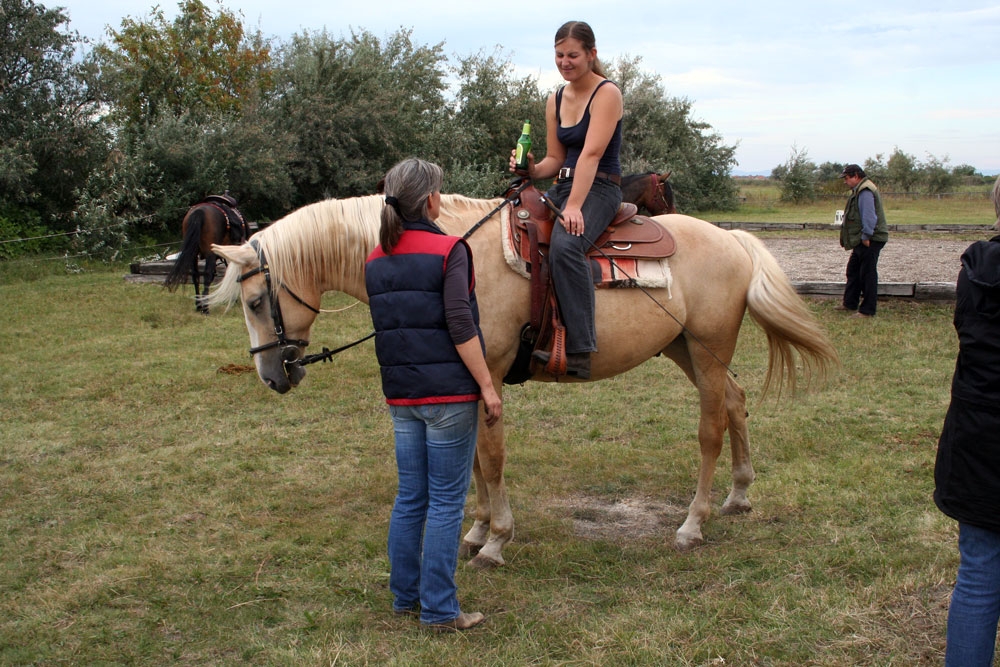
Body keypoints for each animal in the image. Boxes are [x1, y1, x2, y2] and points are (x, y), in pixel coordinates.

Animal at [207, 193, 840, 568]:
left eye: (257, 301)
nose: (271, 376)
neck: (451, 255)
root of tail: (732, 238)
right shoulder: (465, 380)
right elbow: (472, 461)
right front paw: (476, 529)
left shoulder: (485, 375)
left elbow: (490, 458)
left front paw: (495, 540)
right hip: (685, 350)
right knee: (735, 401)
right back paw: (739, 495)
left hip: (706, 354)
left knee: (710, 428)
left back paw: (693, 523)